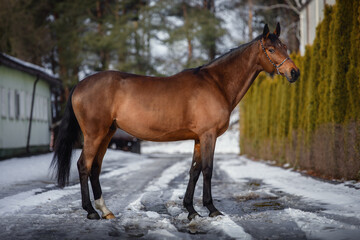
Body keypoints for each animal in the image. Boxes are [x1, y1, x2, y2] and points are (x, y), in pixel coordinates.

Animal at [50, 23, 298, 220]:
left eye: (285, 46)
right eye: (271, 49)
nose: (294, 72)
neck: (216, 83)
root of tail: (80, 84)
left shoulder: (199, 138)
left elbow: (194, 171)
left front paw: (191, 210)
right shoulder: (208, 135)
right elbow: (207, 170)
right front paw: (212, 209)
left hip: (107, 133)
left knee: (95, 168)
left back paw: (105, 210)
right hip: (95, 134)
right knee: (84, 166)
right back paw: (91, 211)